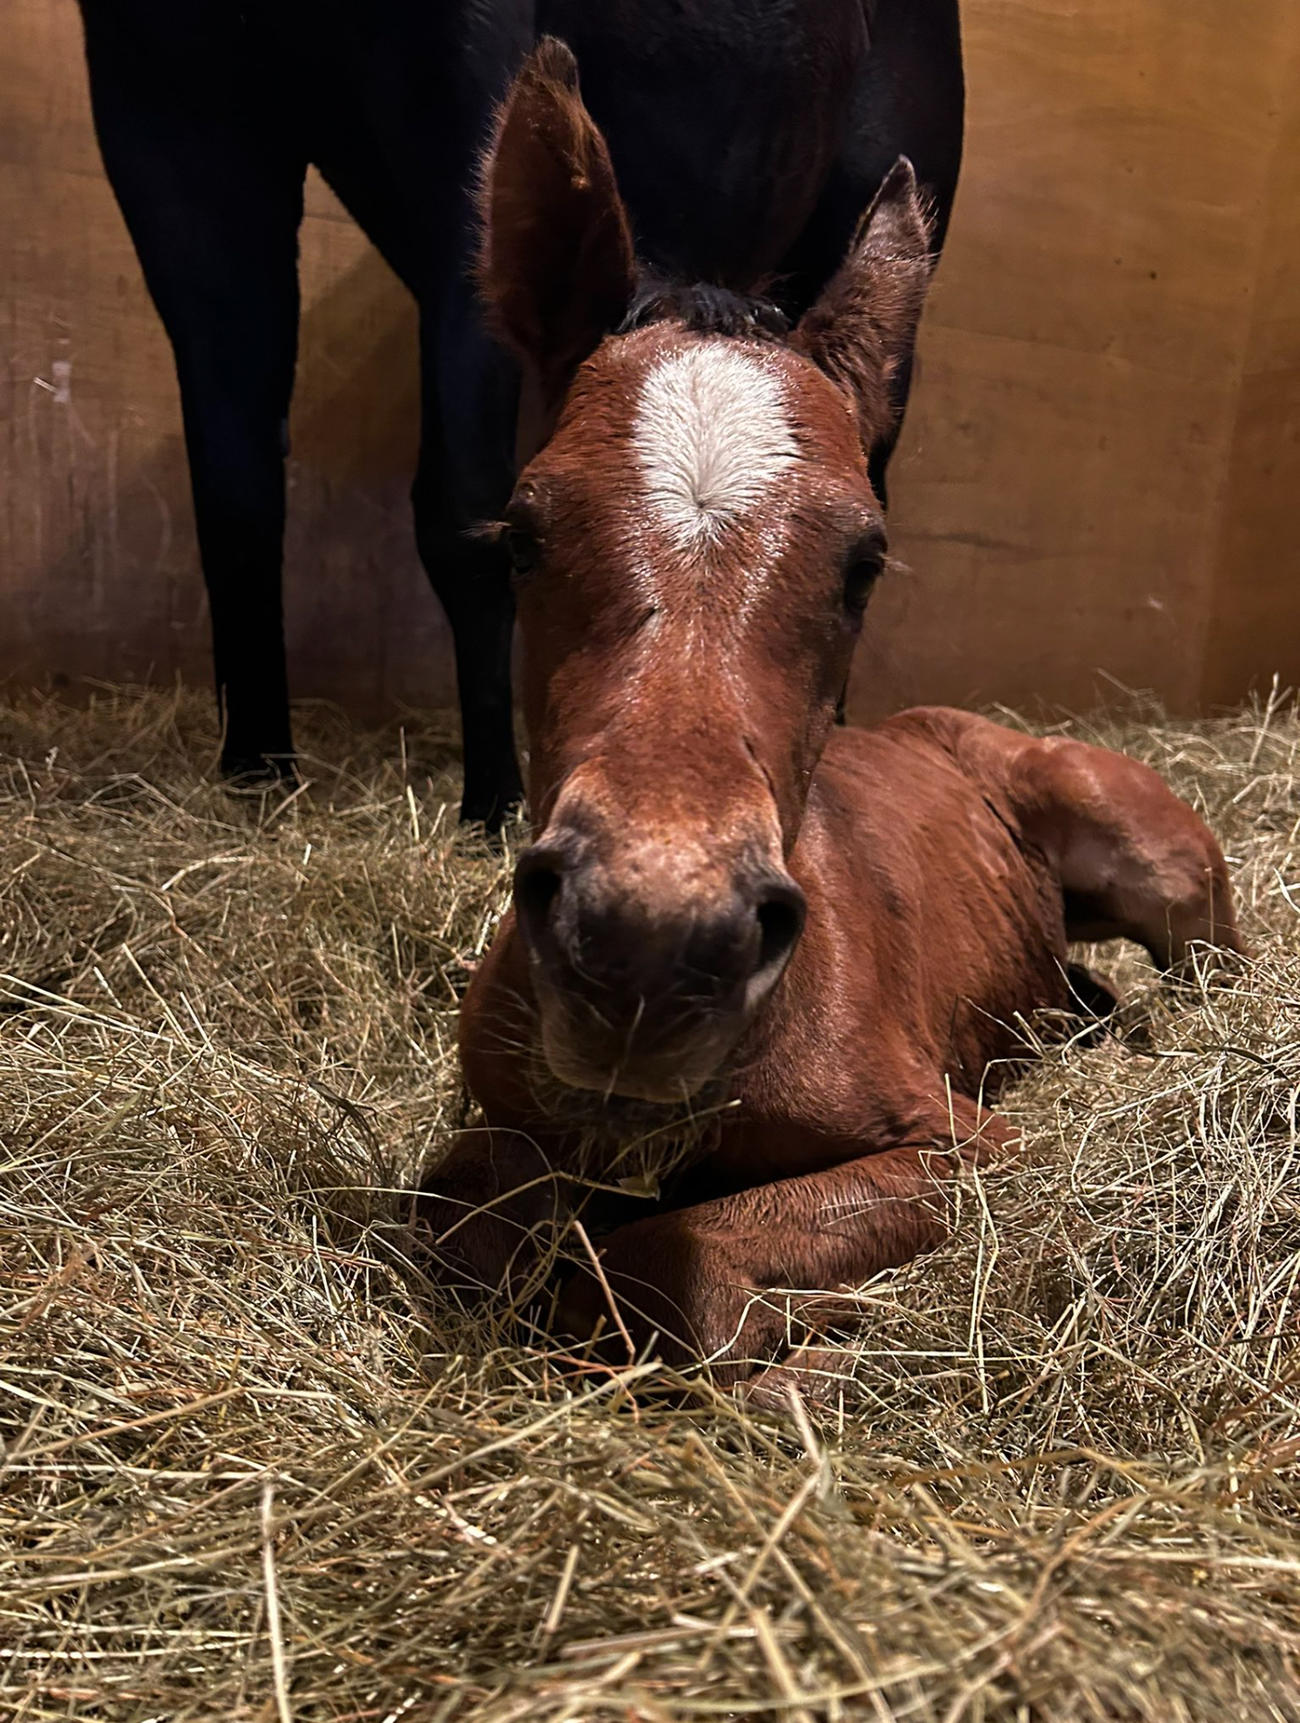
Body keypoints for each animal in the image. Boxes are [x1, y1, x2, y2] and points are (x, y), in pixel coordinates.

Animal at [418, 44, 1243, 1404]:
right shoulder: (490, 1132)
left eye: (864, 561)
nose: (650, 945)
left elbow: (673, 1249)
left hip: (1149, 862)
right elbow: (473, 1213)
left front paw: (806, 1351)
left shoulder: (960, 1143)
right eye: (522, 532)